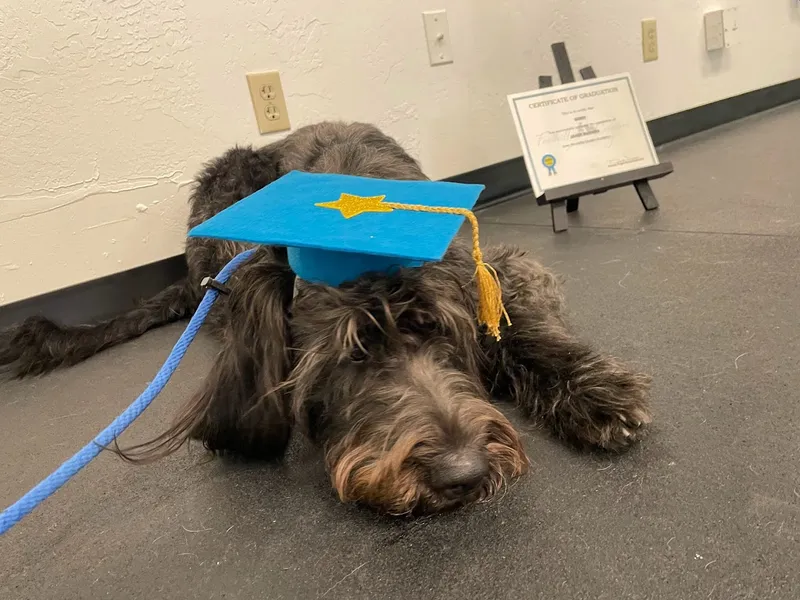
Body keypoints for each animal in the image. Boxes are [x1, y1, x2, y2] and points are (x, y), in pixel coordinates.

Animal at [0, 122, 648, 516]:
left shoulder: (492, 271)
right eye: (350, 354)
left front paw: (595, 391)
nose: (462, 474)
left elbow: (519, 326)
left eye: (438, 330)